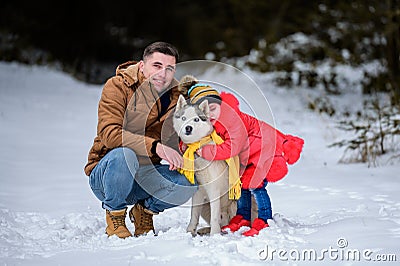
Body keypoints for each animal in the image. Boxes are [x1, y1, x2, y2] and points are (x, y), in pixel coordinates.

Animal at [173, 94, 236, 235]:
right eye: (184, 118)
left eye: (196, 119)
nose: (188, 128)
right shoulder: (198, 191)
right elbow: (193, 214)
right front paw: (190, 231)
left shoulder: (214, 190)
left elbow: (215, 217)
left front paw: (214, 235)